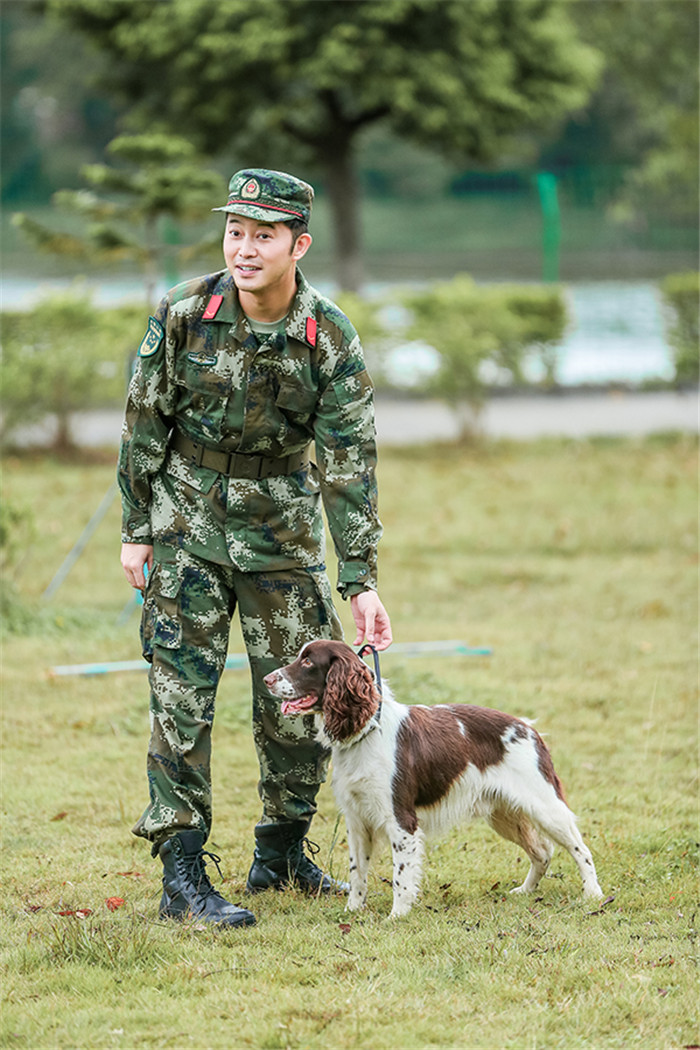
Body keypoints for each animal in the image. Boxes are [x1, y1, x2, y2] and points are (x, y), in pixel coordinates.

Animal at [262, 634, 604, 915]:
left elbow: (401, 876)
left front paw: (397, 916)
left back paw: (593, 894)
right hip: (505, 814)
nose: (266, 679)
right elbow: (357, 871)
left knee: (580, 849)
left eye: (308, 661)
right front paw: (352, 911)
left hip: (545, 806)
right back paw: (526, 890)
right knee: (543, 852)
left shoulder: (401, 820)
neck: (367, 731)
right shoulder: (357, 819)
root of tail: (529, 728)